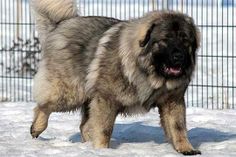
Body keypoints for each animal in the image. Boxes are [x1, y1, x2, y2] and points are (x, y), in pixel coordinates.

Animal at [30, 0, 201, 155]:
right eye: (165, 40)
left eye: (185, 40)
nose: (179, 57)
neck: (149, 73)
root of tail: (62, 23)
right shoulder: (106, 100)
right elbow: (104, 129)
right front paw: (102, 150)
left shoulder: (172, 101)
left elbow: (178, 127)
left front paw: (186, 148)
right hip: (70, 93)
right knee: (43, 107)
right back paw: (36, 128)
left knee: (84, 126)